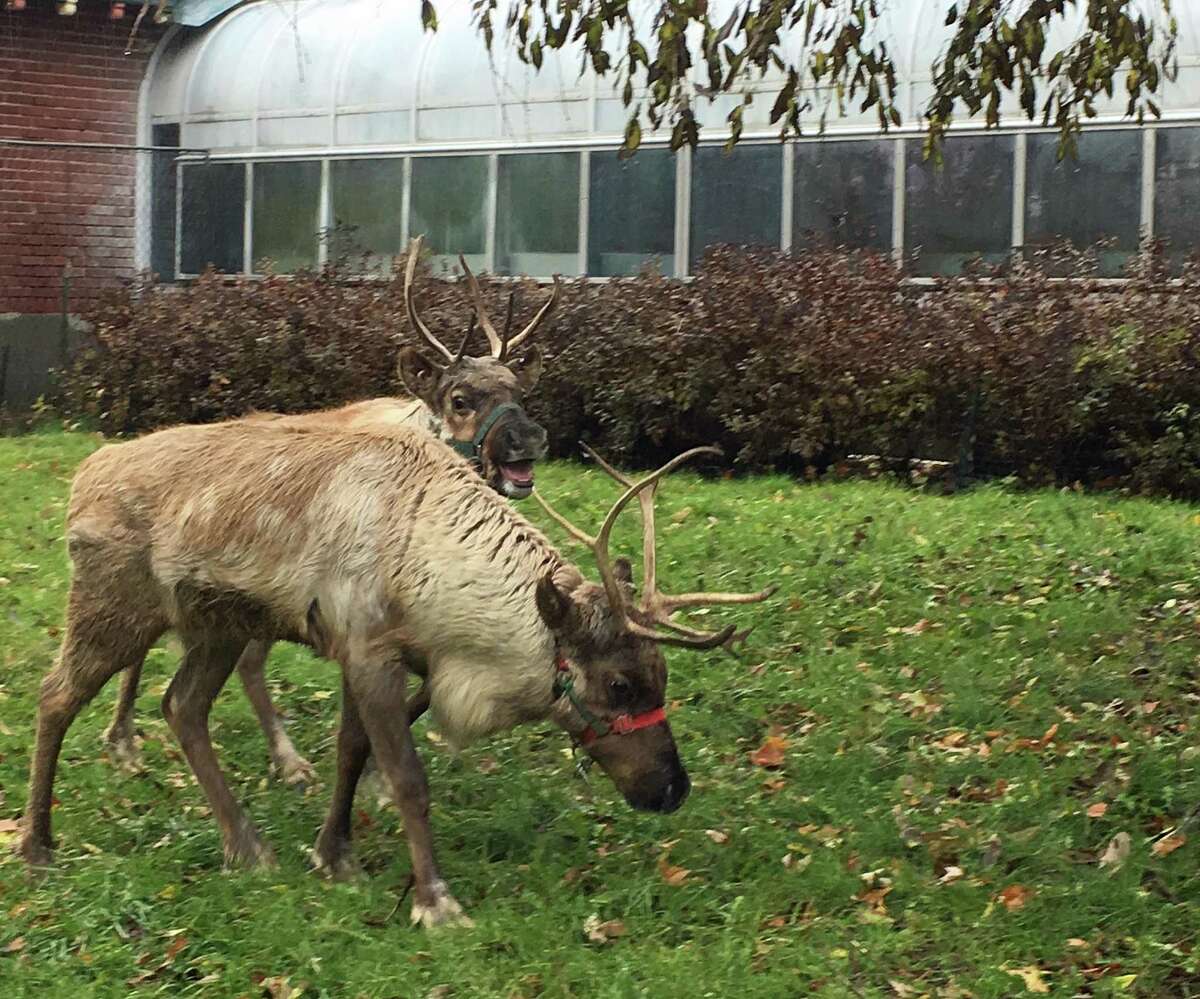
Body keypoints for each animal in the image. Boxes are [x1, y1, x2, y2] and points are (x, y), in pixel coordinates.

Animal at [17, 417, 775, 927]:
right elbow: (408, 778)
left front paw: (333, 854)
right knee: (56, 696)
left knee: (182, 706)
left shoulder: (377, 654)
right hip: (115, 601)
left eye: (662, 674)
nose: (673, 788)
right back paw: (36, 844)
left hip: (219, 624)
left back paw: (248, 846)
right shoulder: (369, 651)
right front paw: (435, 900)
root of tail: (82, 476)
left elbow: (354, 751)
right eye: (619, 683)